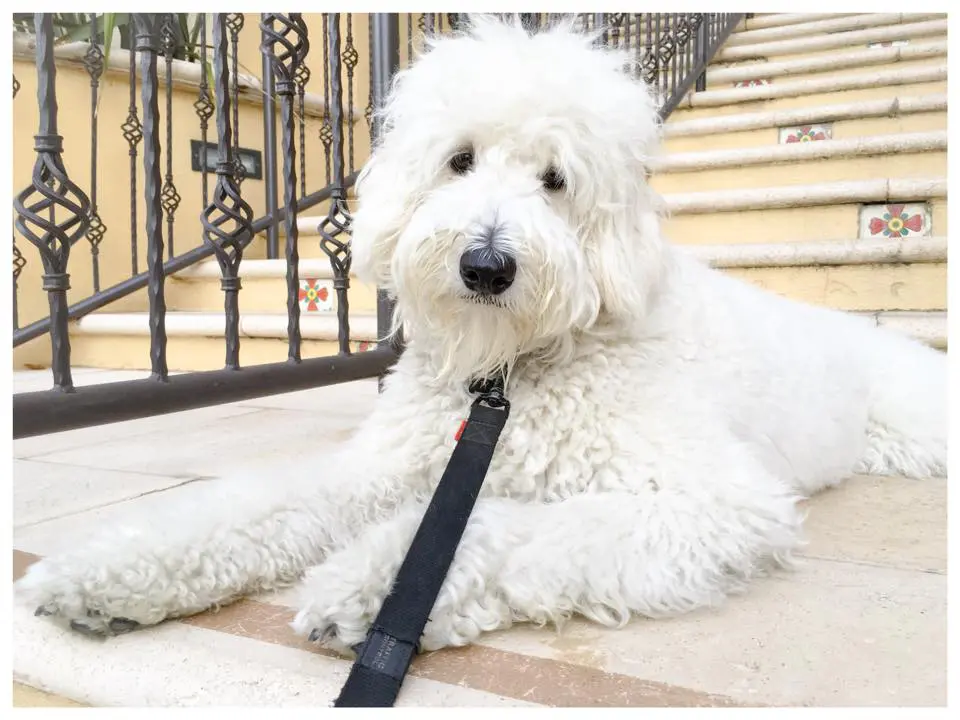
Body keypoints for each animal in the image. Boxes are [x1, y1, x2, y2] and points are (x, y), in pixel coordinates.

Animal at [18, 18, 948, 660]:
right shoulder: (390, 467)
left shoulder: (711, 502)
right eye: (459, 159)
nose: (487, 264)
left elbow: (506, 530)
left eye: (556, 179)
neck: (505, 373)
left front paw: (369, 588)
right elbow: (255, 504)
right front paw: (102, 573)